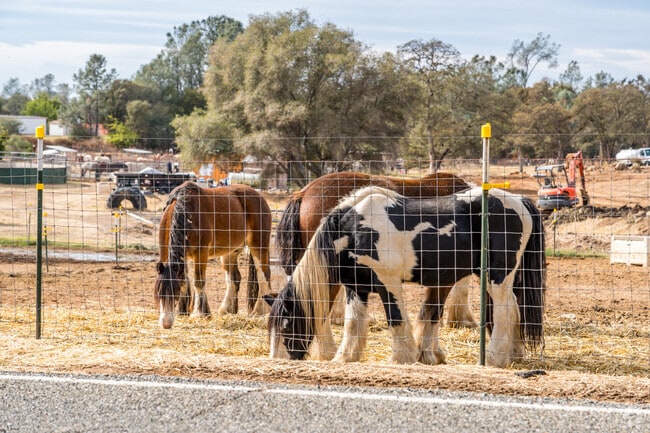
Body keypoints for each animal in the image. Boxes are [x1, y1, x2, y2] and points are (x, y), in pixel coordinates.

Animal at [155, 181, 273, 329]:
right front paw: (184, 312)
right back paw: (227, 310)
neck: (186, 213)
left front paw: (200, 313)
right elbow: (185, 281)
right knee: (234, 278)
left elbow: (198, 282)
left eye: (175, 293)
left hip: (258, 246)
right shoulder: (183, 257)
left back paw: (260, 311)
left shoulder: (201, 253)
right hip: (230, 252)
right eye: (158, 292)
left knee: (263, 275)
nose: (166, 323)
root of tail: (259, 196)